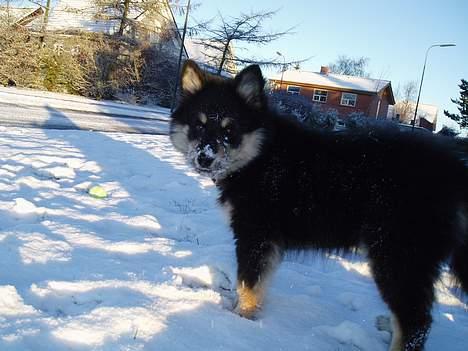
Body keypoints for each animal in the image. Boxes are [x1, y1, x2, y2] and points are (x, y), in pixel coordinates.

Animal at [170, 61, 466, 351]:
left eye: (229, 130)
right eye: (199, 126)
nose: (204, 158)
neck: (260, 154)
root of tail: (455, 170)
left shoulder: (255, 235)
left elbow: (248, 282)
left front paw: (240, 319)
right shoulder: (267, 243)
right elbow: (259, 284)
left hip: (396, 255)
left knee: (417, 322)